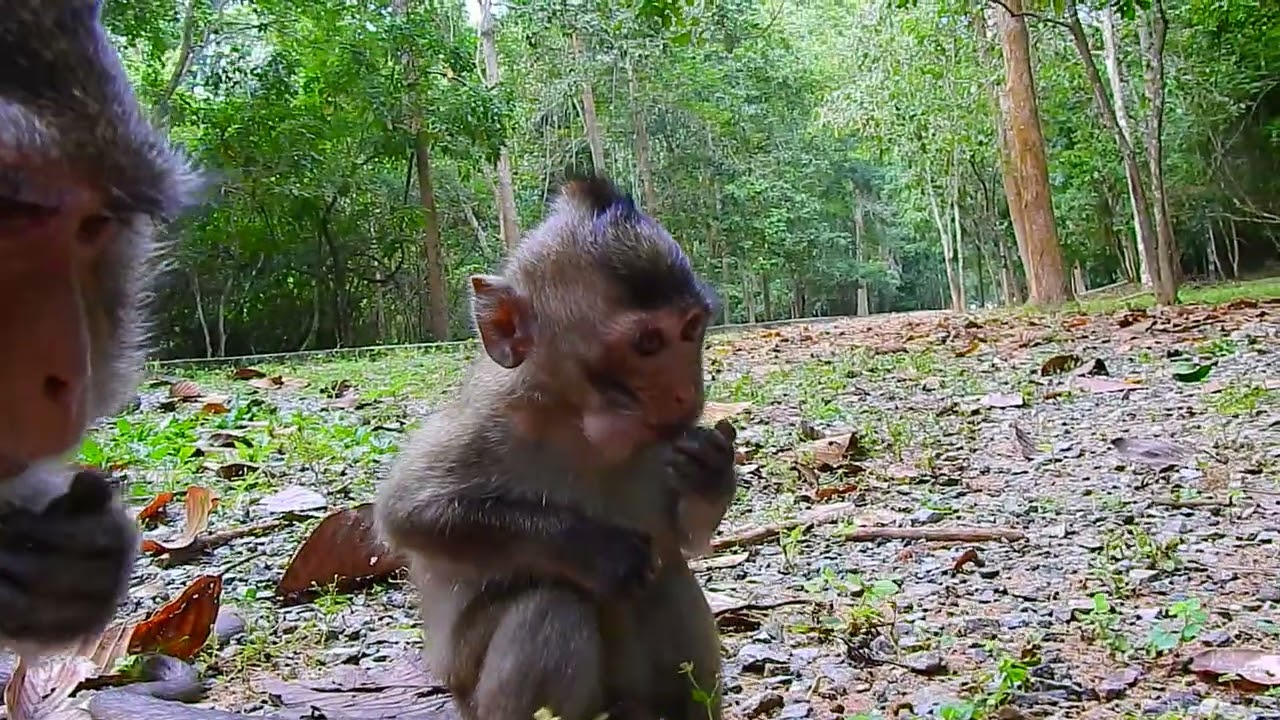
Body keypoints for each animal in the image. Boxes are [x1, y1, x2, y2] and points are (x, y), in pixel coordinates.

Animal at [375, 175, 739, 720]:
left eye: (691, 328)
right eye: (648, 343)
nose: (685, 392)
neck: (581, 426)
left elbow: (685, 536)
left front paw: (711, 473)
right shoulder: (485, 423)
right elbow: (408, 514)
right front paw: (589, 546)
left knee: (668, 578)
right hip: (472, 697)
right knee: (551, 606)